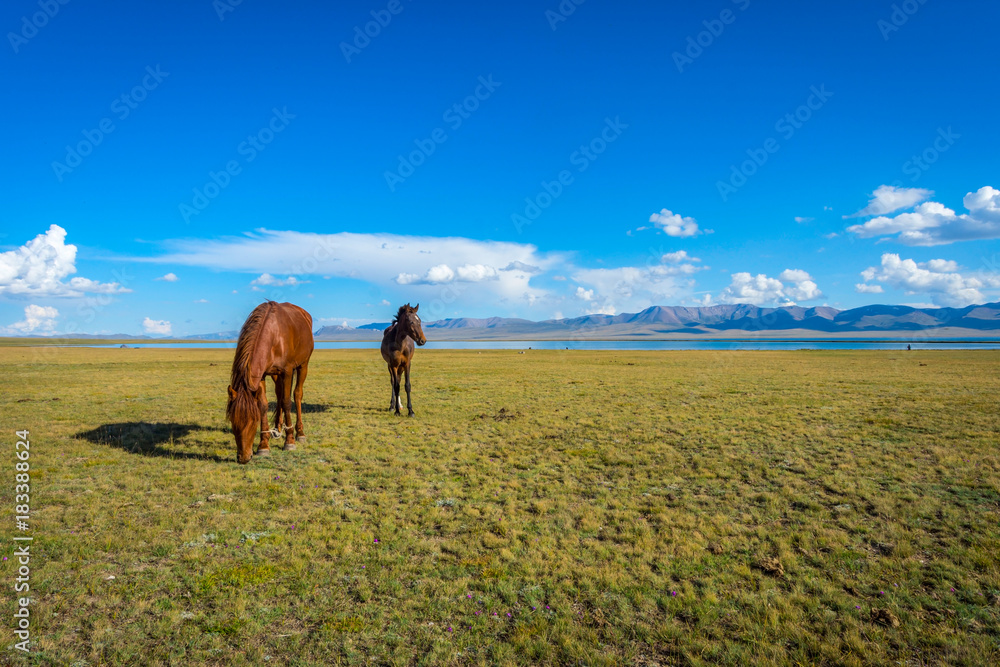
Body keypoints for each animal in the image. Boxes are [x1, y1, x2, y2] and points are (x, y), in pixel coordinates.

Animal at [226, 301, 314, 464]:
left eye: (253, 422)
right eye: (233, 421)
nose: (243, 457)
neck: (273, 335)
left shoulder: (287, 371)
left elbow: (287, 402)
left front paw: (290, 441)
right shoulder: (260, 375)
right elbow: (263, 405)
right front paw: (263, 445)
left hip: (303, 365)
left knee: (297, 394)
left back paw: (300, 433)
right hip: (275, 374)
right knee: (279, 394)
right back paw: (278, 429)